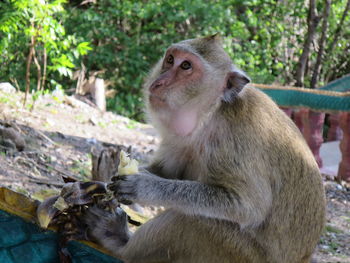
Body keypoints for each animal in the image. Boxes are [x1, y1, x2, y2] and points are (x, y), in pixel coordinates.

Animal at [86, 35, 326, 263]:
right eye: (170, 59)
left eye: (186, 66)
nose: (157, 83)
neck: (211, 114)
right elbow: (168, 171)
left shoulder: (236, 140)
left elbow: (247, 206)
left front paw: (145, 186)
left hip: (240, 253)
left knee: (194, 219)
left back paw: (120, 243)